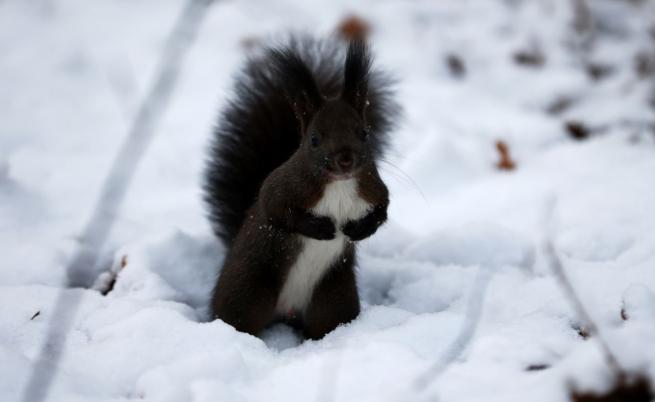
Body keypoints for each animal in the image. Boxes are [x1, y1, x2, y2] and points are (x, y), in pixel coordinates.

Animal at [204, 37, 400, 340]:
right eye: (314, 139)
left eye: (364, 133)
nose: (345, 159)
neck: (339, 184)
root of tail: (287, 310)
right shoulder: (281, 186)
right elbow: (275, 209)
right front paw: (320, 228)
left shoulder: (373, 188)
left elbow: (383, 210)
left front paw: (358, 230)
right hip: (248, 292)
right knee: (236, 319)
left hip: (333, 300)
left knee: (325, 323)